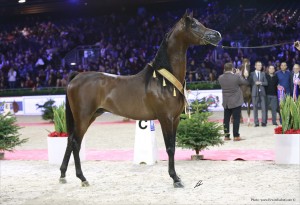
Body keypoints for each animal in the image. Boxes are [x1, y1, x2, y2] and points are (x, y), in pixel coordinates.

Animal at [59, 10, 221, 187]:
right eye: (194, 25)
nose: (217, 35)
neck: (163, 80)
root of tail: (76, 77)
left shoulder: (176, 118)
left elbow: (173, 146)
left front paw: (176, 177)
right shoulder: (166, 118)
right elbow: (170, 148)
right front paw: (175, 179)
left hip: (91, 116)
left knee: (70, 140)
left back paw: (63, 175)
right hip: (83, 117)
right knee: (76, 143)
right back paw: (82, 178)